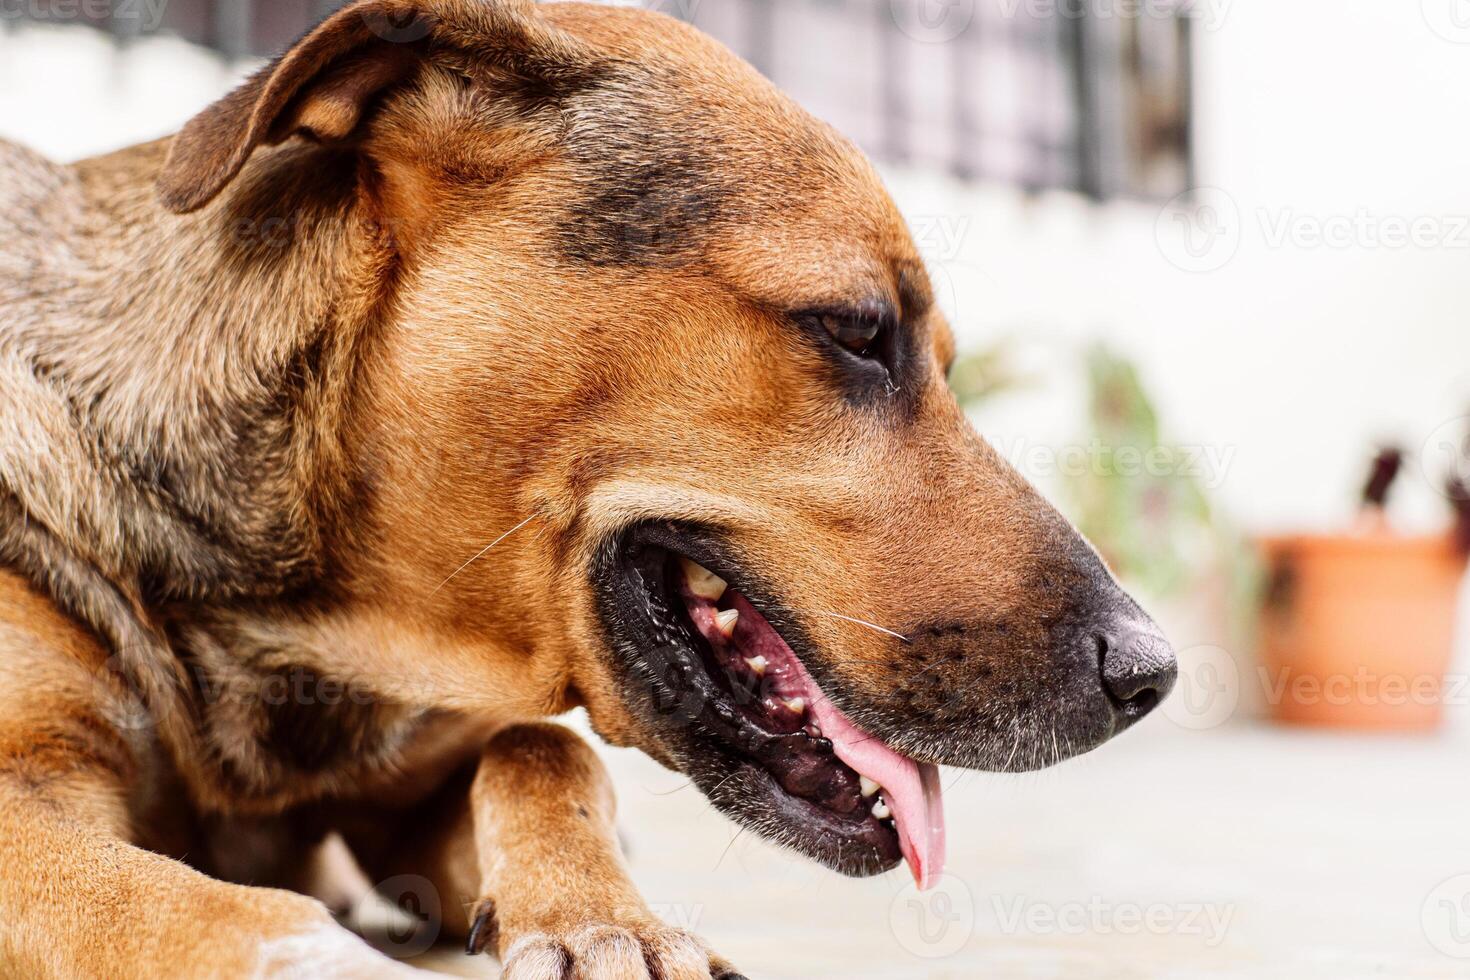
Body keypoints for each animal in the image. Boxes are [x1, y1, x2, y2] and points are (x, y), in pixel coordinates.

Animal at [0, 3, 1170, 975]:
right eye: (851, 329)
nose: (1152, 670)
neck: (315, 637)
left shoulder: (435, 761)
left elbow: (543, 746)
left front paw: (603, 916)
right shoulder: (29, 798)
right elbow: (202, 906)